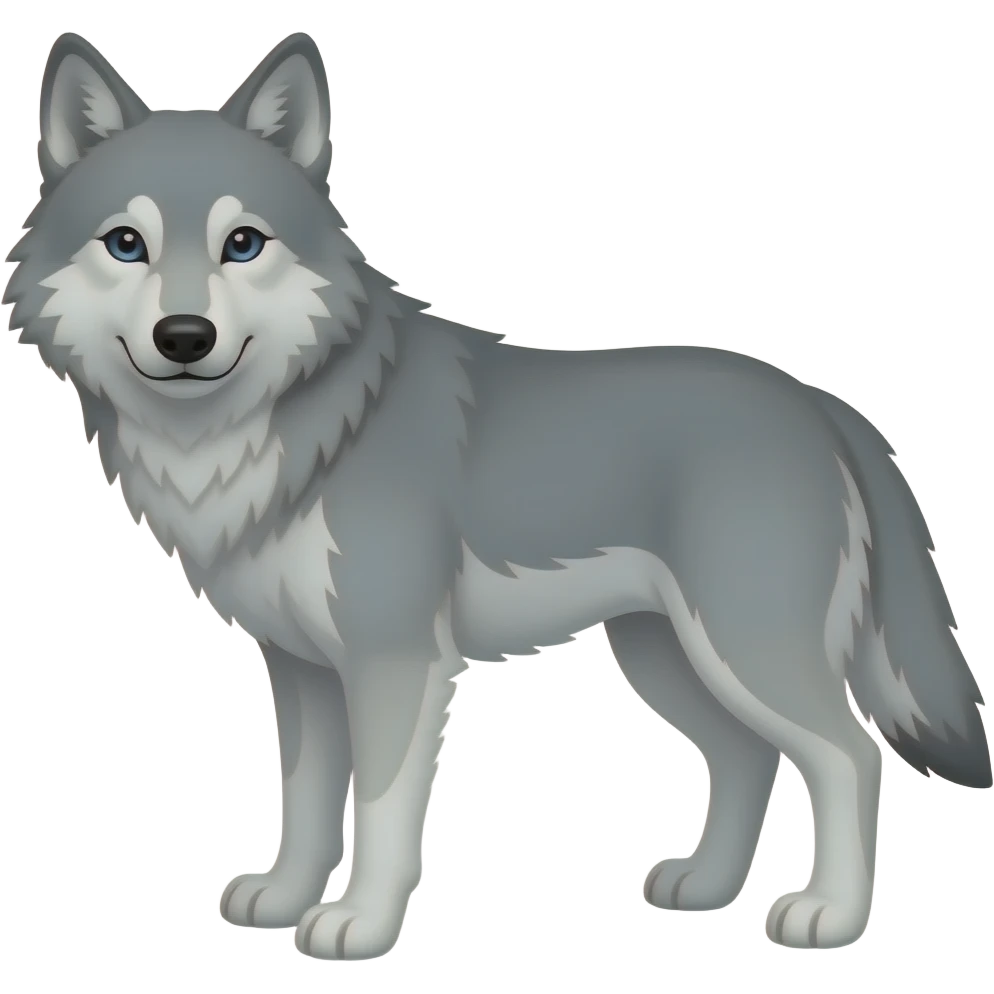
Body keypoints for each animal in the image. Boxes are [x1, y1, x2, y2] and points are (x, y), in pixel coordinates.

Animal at [2, 28, 990, 961]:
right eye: (126, 244)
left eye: (241, 244)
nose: (184, 336)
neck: (288, 429)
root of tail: (824, 404)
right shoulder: (303, 672)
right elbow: (310, 805)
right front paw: (282, 901)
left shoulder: (396, 663)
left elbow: (382, 813)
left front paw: (357, 926)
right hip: (666, 660)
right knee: (751, 758)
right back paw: (705, 887)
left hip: (743, 652)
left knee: (850, 756)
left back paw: (830, 915)